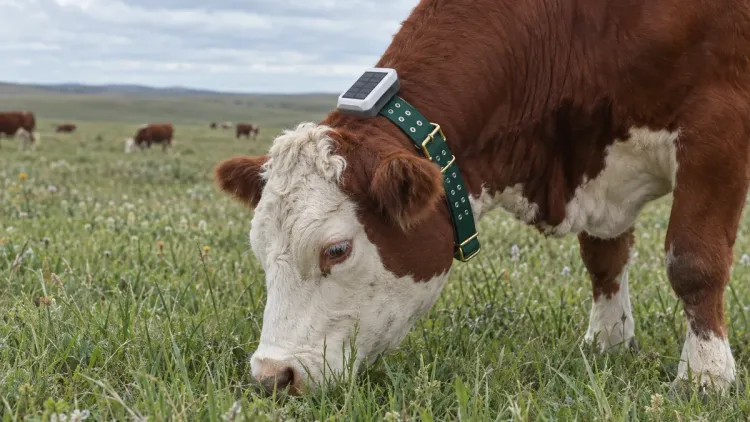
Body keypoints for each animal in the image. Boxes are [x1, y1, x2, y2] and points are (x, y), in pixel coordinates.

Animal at [214, 0, 750, 397]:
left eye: (337, 250)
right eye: (260, 251)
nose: (271, 377)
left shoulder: (718, 127)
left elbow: (693, 261)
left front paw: (705, 375)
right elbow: (604, 260)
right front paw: (608, 343)